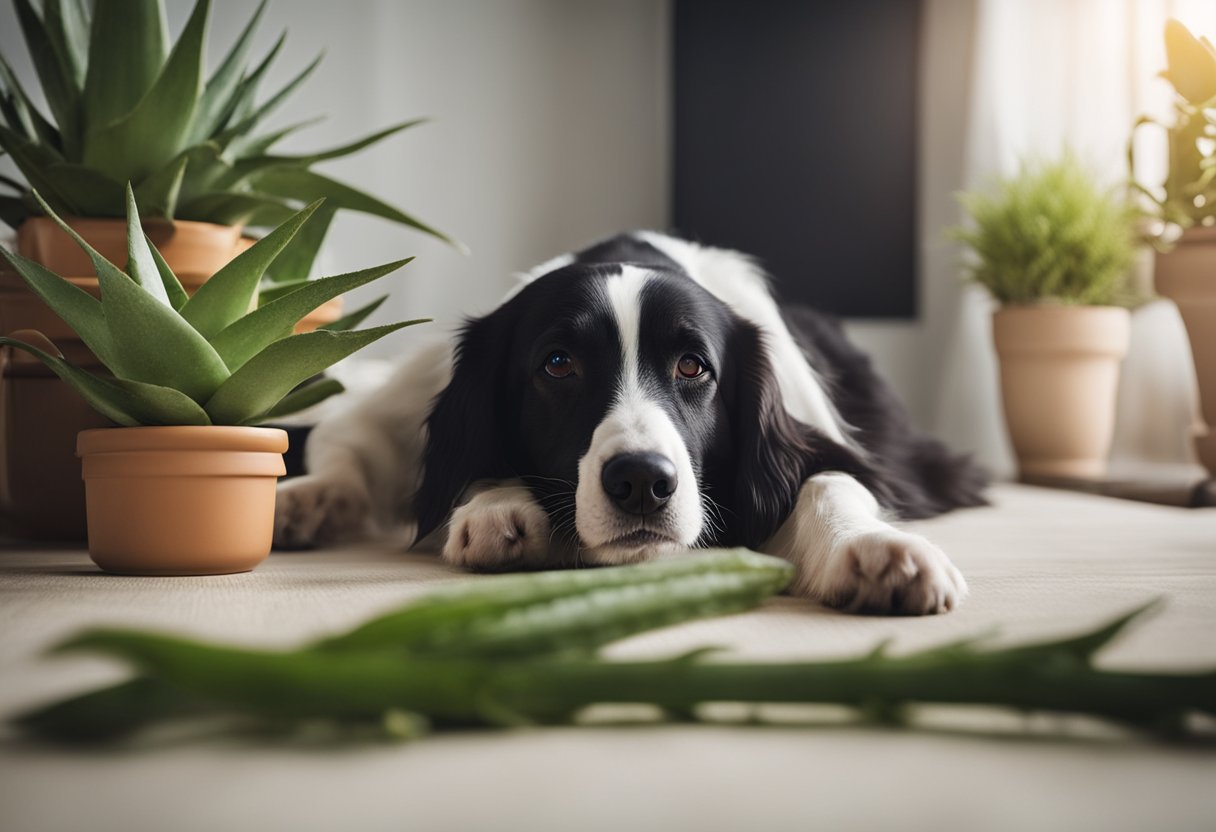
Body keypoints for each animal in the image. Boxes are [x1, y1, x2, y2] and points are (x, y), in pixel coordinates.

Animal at [278, 231, 987, 613]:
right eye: (558, 364)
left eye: (694, 367)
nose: (642, 482)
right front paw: (499, 504)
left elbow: (828, 480)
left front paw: (877, 551)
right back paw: (304, 503)